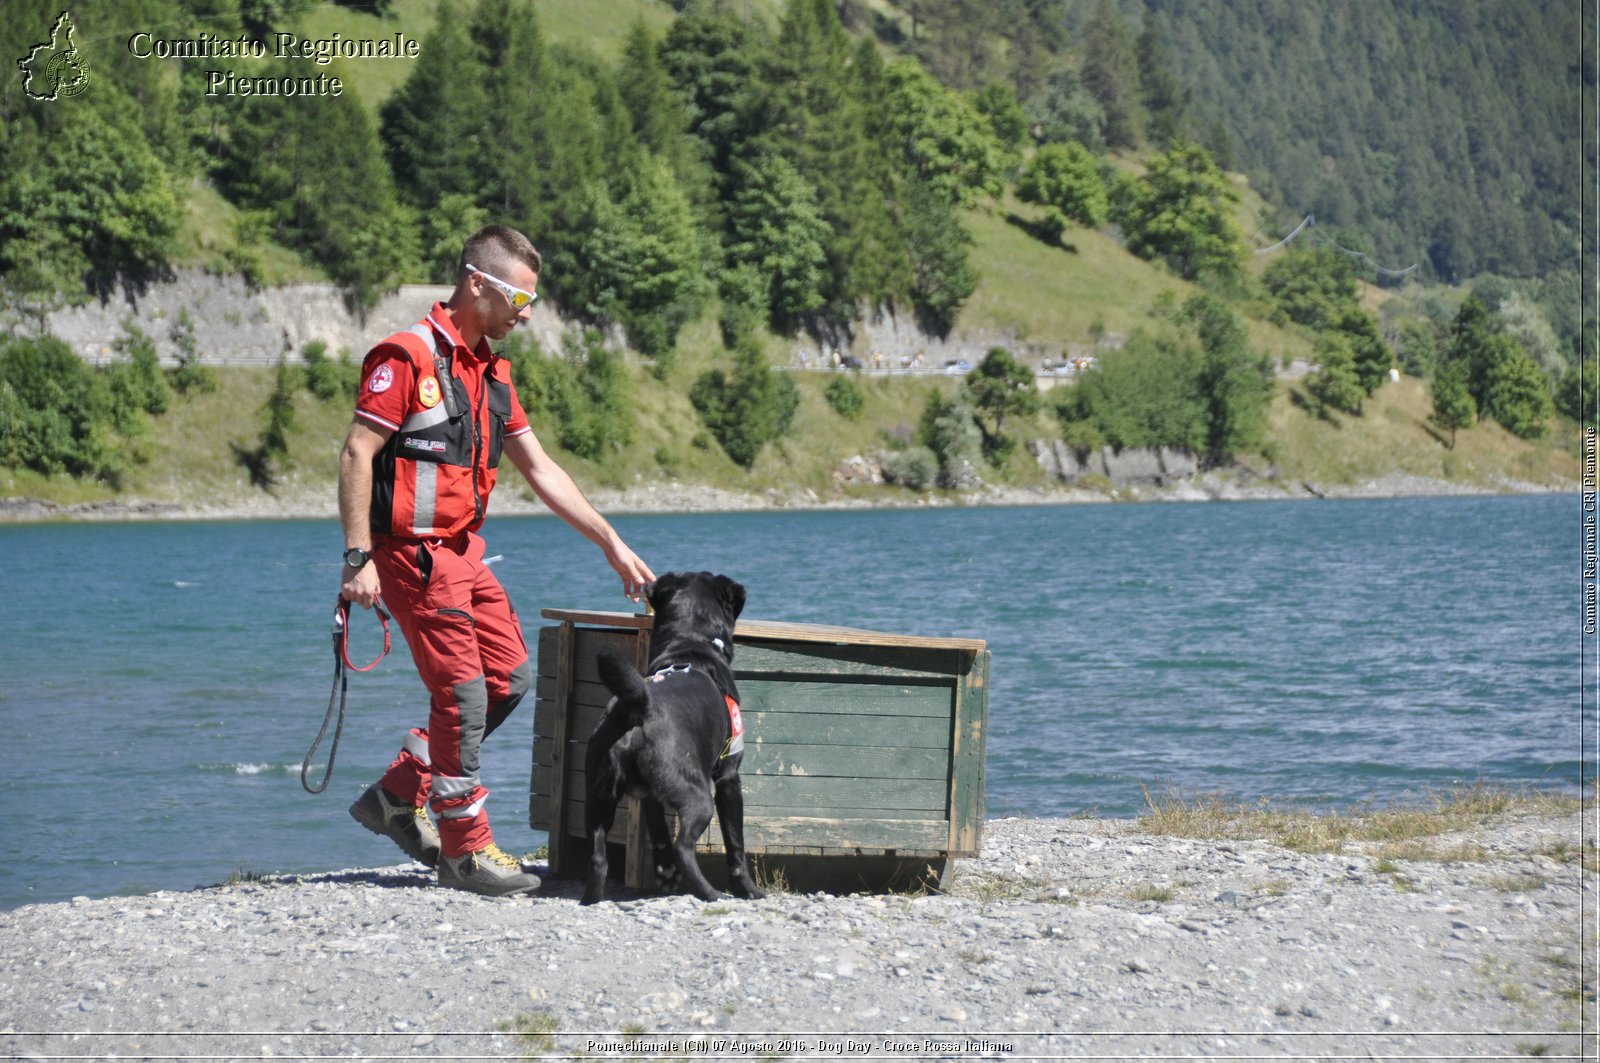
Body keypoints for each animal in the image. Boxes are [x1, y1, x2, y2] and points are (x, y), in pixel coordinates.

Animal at [582, 573, 768, 902]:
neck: (691, 642)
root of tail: (640, 706)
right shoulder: (728, 776)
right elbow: (735, 844)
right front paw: (748, 890)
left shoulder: (649, 794)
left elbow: (658, 832)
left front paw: (665, 872)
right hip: (698, 795)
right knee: (684, 847)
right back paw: (710, 893)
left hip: (598, 795)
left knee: (597, 856)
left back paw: (591, 898)